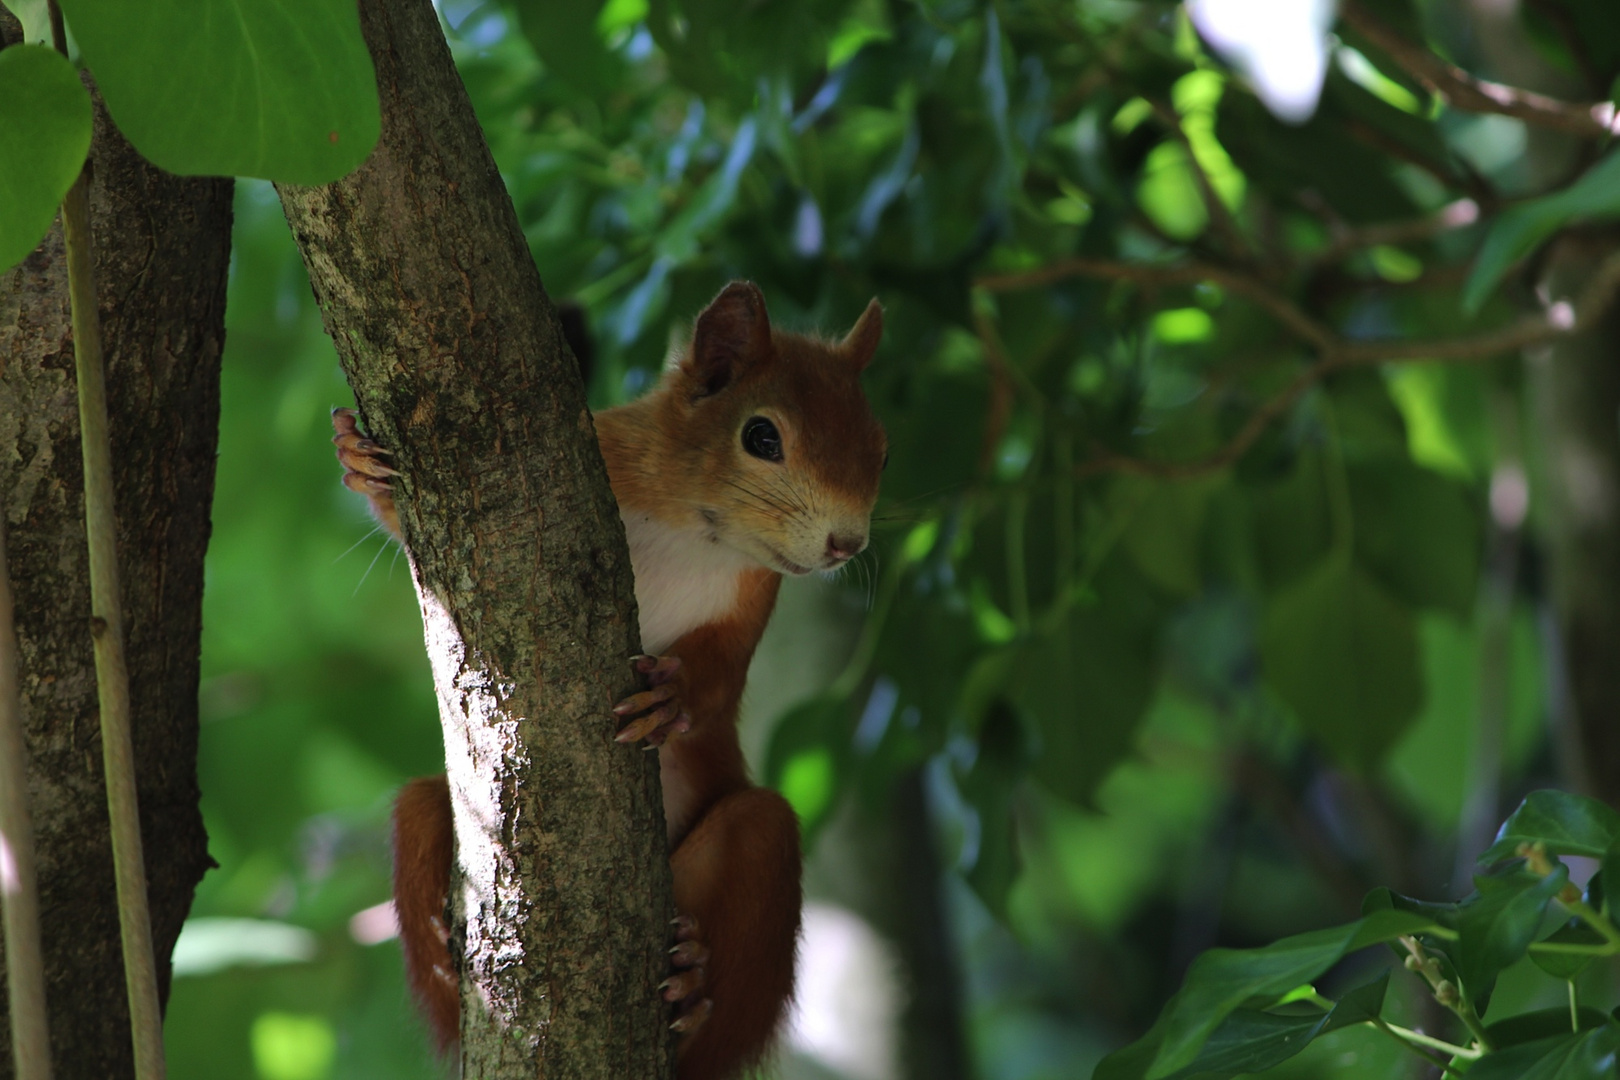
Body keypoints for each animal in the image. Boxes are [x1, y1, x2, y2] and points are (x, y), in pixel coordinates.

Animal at [330, 281, 887, 1080]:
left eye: (881, 448)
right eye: (762, 438)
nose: (846, 544)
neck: (694, 524)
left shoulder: (751, 599)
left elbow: (721, 676)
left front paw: (674, 697)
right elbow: (413, 531)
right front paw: (360, 462)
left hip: (752, 849)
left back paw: (693, 990)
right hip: (426, 822)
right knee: (420, 818)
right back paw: (440, 952)